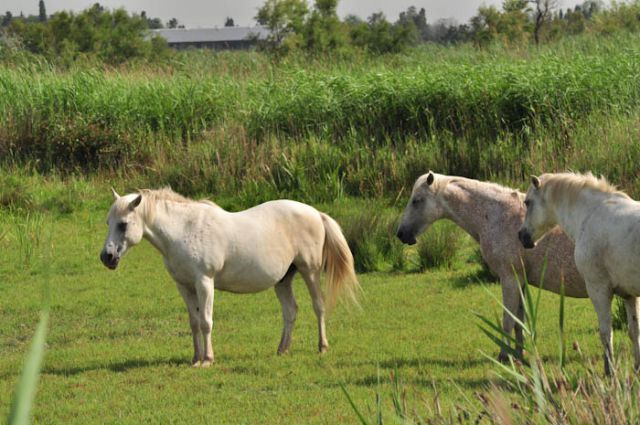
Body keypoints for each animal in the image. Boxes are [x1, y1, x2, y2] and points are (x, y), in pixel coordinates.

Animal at [100, 187, 360, 366]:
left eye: (123, 224)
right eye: (108, 222)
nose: (106, 256)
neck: (184, 230)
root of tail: (315, 212)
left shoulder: (204, 282)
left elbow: (206, 322)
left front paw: (207, 360)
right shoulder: (184, 286)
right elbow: (194, 323)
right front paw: (195, 358)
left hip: (310, 271)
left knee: (319, 306)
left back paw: (322, 347)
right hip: (283, 280)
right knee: (290, 311)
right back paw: (282, 349)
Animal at [398, 172, 588, 362]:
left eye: (416, 200)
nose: (401, 233)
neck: (497, 216)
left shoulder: (509, 278)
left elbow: (507, 320)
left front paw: (504, 356)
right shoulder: (520, 281)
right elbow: (519, 321)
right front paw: (520, 354)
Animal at [520, 172, 640, 374]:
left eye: (528, 202)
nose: (522, 236)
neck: (591, 214)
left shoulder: (598, 290)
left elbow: (606, 333)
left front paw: (610, 372)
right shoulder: (629, 294)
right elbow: (634, 331)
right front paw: (637, 368)